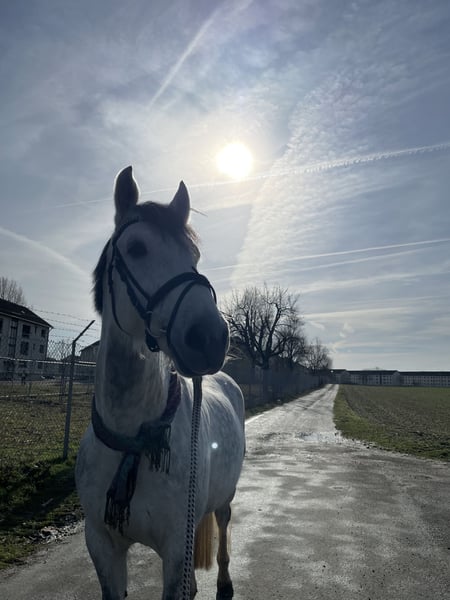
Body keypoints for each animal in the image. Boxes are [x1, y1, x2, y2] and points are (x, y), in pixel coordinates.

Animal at [75, 166, 245, 600]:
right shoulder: (101, 546)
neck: (134, 438)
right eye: (137, 249)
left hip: (224, 499)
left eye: (194, 257)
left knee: (223, 528)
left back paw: (224, 582)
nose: (210, 337)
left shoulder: (175, 552)